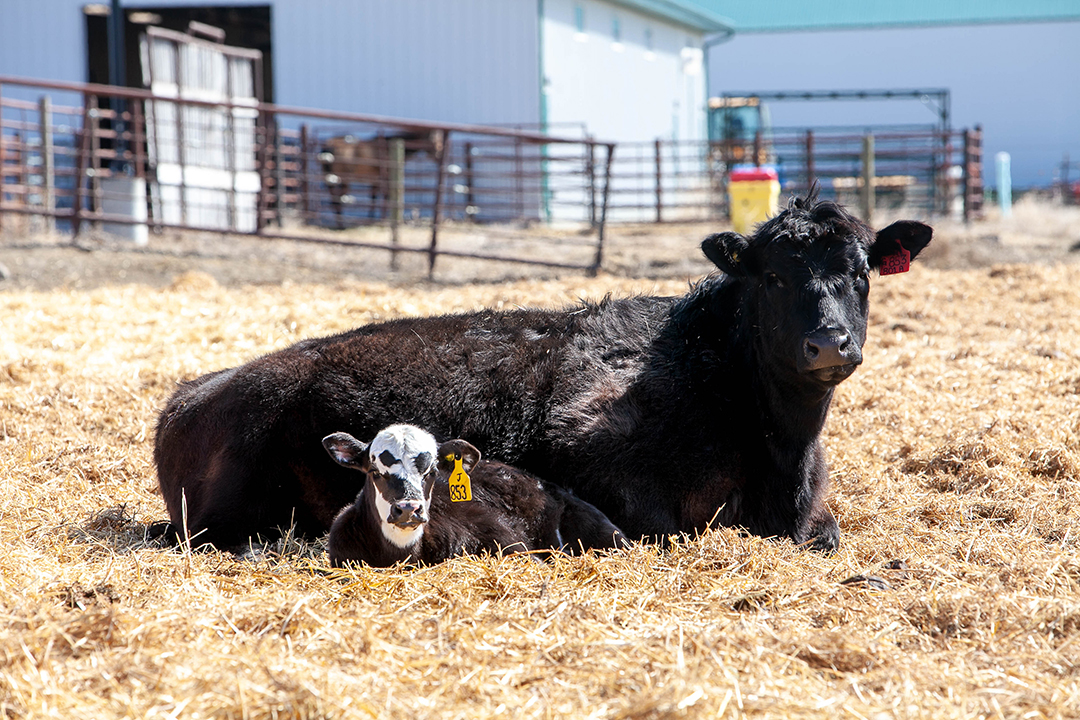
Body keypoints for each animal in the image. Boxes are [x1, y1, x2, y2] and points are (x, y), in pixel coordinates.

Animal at [154, 197, 937, 552]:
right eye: (773, 277)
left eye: (863, 273)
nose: (830, 343)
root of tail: (196, 392)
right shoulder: (597, 466)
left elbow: (828, 530)